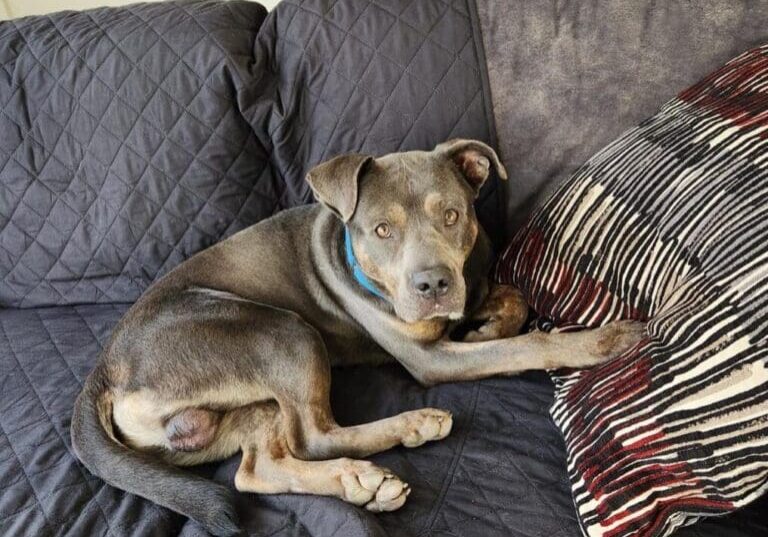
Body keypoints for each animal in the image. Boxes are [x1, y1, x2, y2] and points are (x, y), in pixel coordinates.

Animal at [70, 139, 640, 536]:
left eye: (452, 215)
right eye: (382, 230)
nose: (433, 284)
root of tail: (103, 370)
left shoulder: (471, 285)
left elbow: (513, 299)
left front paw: (489, 323)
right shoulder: (430, 357)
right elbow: (524, 344)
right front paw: (600, 342)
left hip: (242, 404)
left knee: (257, 468)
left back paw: (356, 481)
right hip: (279, 330)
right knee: (313, 434)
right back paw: (409, 429)